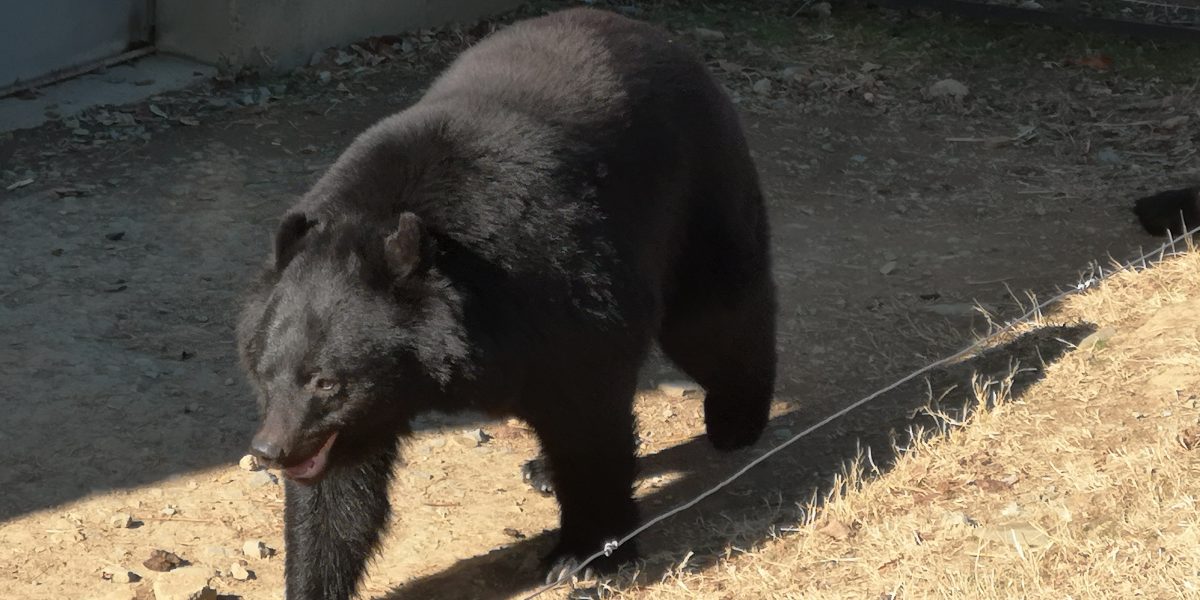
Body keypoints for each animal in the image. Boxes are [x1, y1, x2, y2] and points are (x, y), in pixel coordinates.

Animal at [235, 7, 777, 597]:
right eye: (266, 374)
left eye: (327, 381)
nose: (270, 452)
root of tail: (662, 37)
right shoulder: (359, 413)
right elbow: (337, 490)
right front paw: (312, 580)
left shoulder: (559, 291)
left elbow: (588, 415)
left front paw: (584, 556)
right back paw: (541, 470)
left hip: (696, 191)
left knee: (713, 319)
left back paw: (736, 422)